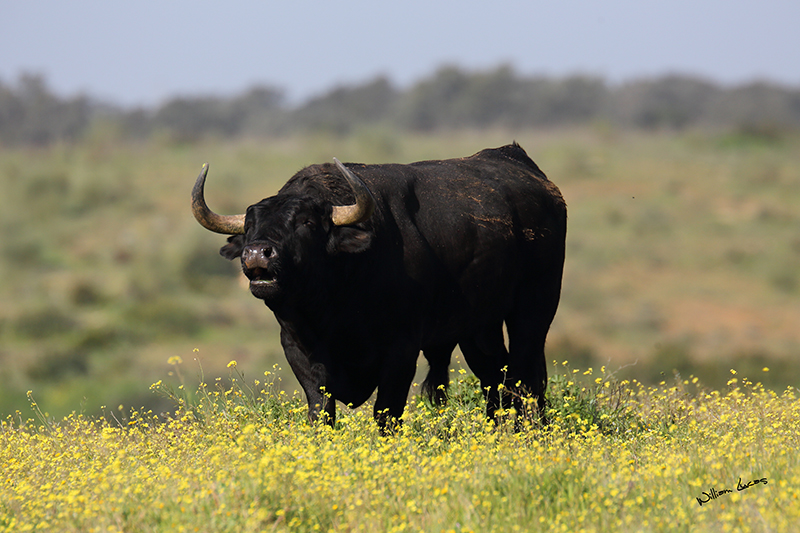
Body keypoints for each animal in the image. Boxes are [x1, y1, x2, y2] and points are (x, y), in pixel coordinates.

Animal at [192, 142, 568, 428]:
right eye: (249, 226)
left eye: (306, 222)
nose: (257, 253)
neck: (331, 311)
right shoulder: (298, 351)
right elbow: (320, 412)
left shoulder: (402, 350)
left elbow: (387, 414)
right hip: (478, 329)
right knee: (496, 378)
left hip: (535, 311)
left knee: (526, 377)